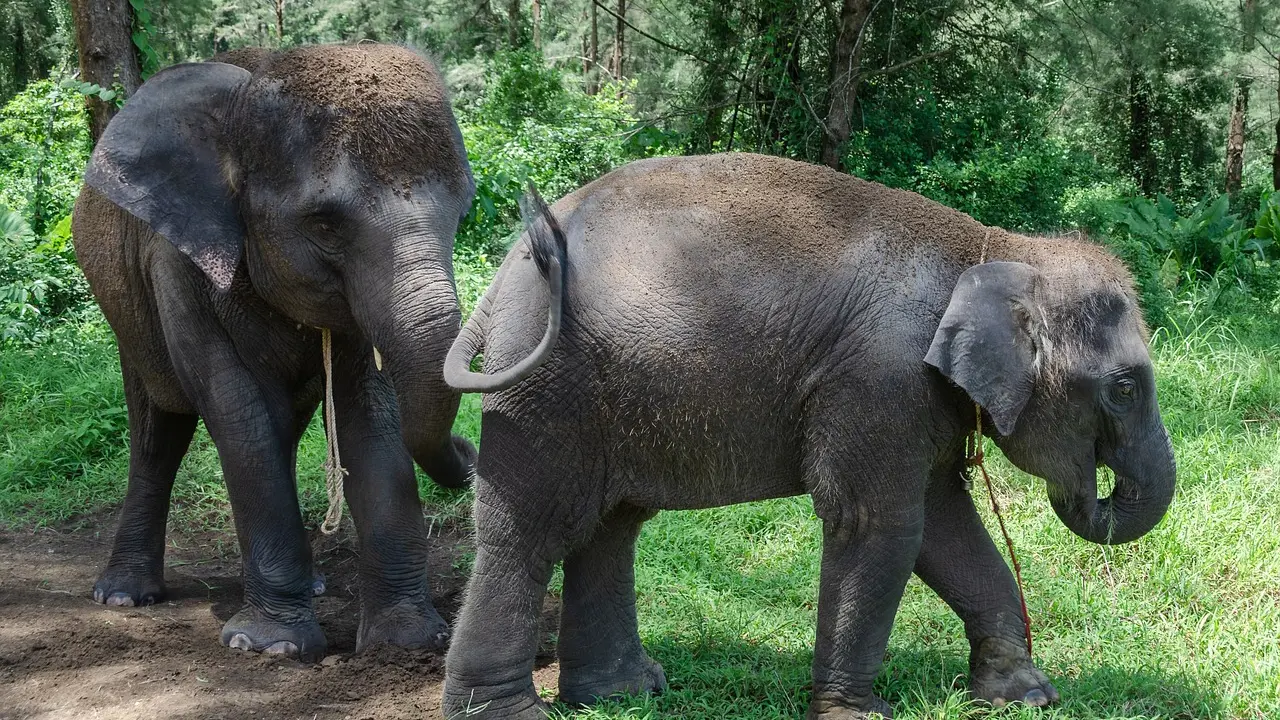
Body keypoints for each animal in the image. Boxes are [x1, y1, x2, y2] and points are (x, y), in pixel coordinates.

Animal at [72, 43, 477, 662]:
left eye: (462, 211)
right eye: (325, 224)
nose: (470, 446)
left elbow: (369, 408)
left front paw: (409, 643)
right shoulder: (177, 264)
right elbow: (234, 405)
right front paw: (269, 648)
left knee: (282, 425)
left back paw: (312, 583)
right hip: (127, 312)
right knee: (161, 429)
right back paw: (123, 596)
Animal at [437, 153, 1177, 719]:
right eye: (1123, 388)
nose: (1092, 486)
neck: (996, 251)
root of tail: (504, 278)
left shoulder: (912, 397)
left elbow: (941, 523)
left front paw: (1025, 697)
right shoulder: (880, 379)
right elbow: (878, 523)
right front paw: (861, 714)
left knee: (610, 526)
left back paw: (624, 694)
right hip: (544, 392)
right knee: (530, 531)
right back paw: (515, 713)